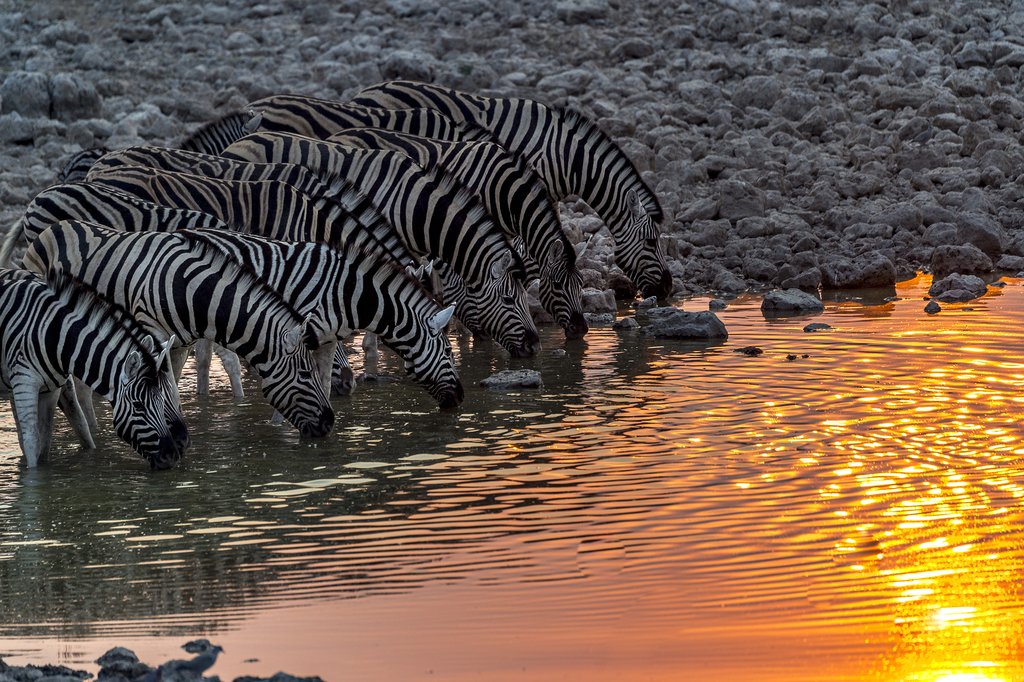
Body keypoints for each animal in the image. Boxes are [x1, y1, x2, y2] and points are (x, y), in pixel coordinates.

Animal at [0, 268, 186, 468]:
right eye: (138, 406)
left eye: (161, 399)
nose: (171, 456)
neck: (54, 332)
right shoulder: (24, 382)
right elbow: (32, 441)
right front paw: (33, 475)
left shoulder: (50, 389)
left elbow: (45, 441)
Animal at [22, 220, 335, 438]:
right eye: (305, 374)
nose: (330, 423)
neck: (193, 292)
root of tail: (53, 227)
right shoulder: (151, 334)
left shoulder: (179, 345)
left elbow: (170, 389)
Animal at [183, 228, 464, 408]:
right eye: (448, 351)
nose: (461, 398)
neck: (350, 294)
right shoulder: (300, 336)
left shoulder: (326, 340)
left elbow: (325, 384)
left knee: (203, 359)